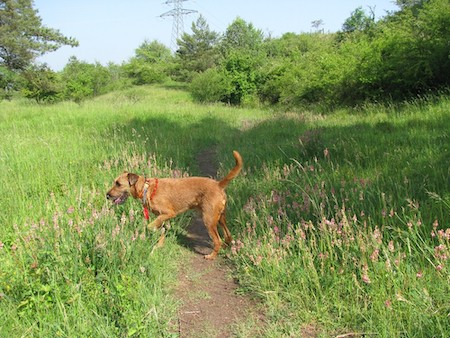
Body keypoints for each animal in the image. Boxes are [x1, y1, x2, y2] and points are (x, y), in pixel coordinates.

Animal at [106, 151, 243, 258]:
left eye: (118, 184)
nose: (107, 195)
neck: (146, 189)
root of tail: (218, 185)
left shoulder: (168, 213)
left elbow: (151, 226)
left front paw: (152, 233)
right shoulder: (164, 218)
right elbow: (163, 231)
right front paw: (157, 247)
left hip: (208, 220)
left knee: (218, 240)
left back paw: (211, 256)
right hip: (220, 218)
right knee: (228, 235)